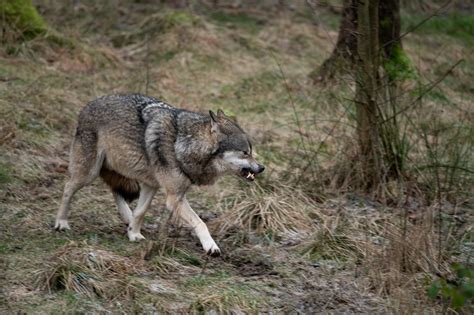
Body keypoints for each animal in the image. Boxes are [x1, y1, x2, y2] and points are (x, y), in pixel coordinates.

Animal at [54, 94, 266, 256]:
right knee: (67, 188)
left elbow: (141, 212)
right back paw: (61, 223)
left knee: (116, 190)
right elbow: (200, 223)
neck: (182, 144)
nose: (262, 167)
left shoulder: (152, 186)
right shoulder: (174, 197)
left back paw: (127, 219)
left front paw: (134, 234)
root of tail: (86, 106)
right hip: (89, 173)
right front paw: (211, 247)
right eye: (245, 152)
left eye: (251, 151)